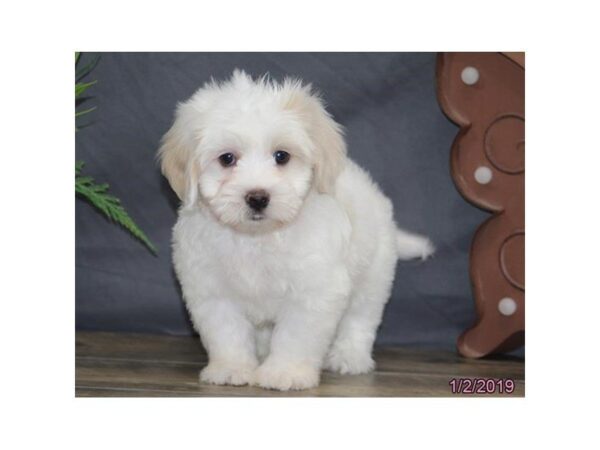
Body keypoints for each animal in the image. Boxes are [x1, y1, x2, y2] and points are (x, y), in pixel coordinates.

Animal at [157, 70, 434, 390]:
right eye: (227, 158)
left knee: (360, 318)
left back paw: (349, 357)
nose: (257, 197)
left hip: (373, 275)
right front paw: (232, 368)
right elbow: (227, 334)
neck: (256, 237)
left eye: (282, 156)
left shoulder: (313, 292)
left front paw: (285, 372)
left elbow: (295, 337)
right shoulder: (213, 291)